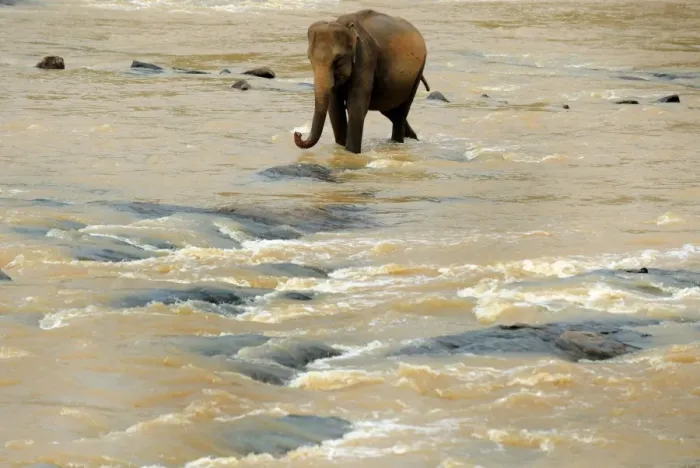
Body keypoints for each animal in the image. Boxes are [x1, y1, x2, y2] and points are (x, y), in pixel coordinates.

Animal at [293, 9, 429, 154]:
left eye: (338, 59)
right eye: (310, 58)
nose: (298, 133)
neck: (346, 26)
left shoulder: (365, 58)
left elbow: (356, 106)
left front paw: (351, 152)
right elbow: (335, 109)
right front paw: (342, 147)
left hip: (417, 73)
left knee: (400, 113)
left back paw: (397, 142)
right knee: (390, 111)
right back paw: (413, 138)